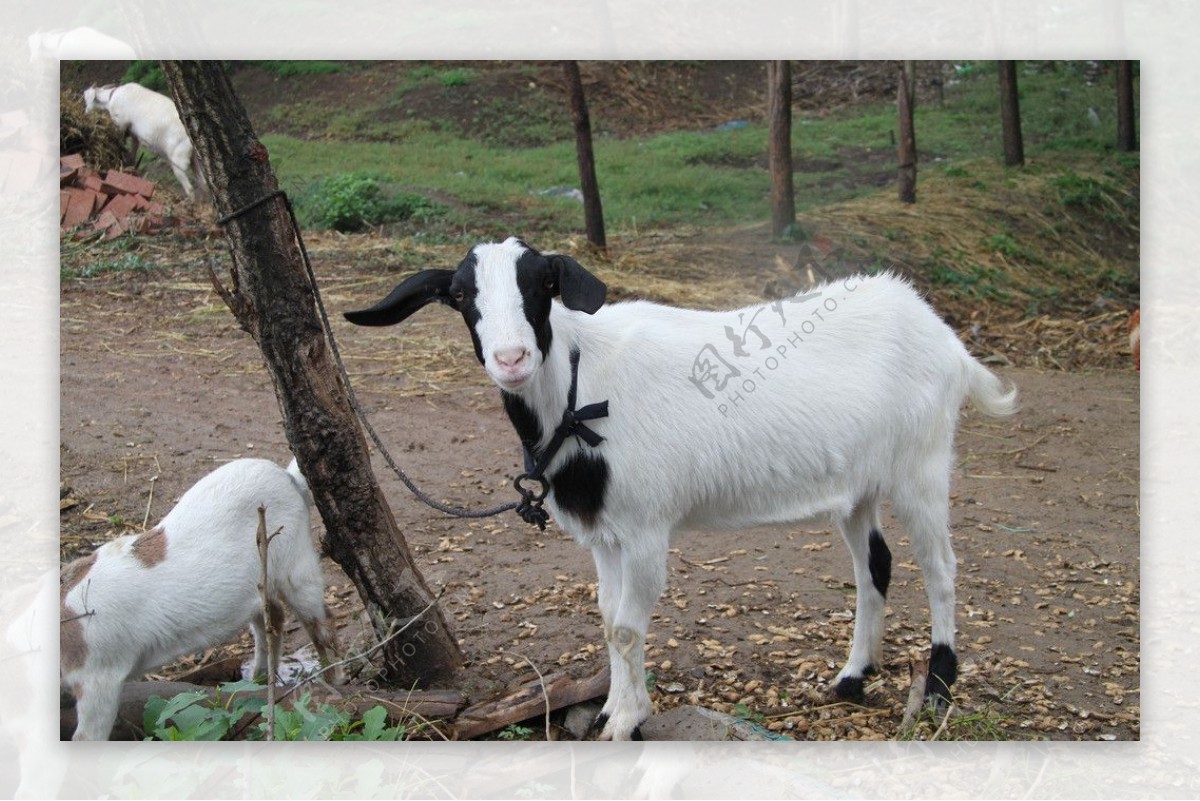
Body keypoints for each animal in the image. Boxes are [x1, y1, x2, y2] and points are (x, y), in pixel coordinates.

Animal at [345, 235, 1012, 743]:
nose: (511, 359)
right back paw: (851, 680)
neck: (580, 389)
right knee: (876, 565)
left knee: (941, 569)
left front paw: (625, 723)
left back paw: (939, 688)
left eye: (541, 287)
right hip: (858, 484)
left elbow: (625, 626)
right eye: (460, 295)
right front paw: (613, 710)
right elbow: (607, 616)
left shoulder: (644, 526)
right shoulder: (603, 535)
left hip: (922, 462)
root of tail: (944, 336)